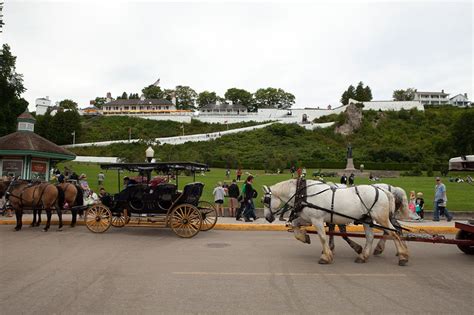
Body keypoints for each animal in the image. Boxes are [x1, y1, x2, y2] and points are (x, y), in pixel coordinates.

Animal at [262, 180, 410, 266]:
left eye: (266, 200)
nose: (268, 218)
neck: (304, 193)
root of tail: (384, 190)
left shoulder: (317, 219)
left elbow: (322, 237)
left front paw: (326, 256)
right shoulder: (308, 218)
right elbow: (295, 224)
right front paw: (304, 237)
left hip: (380, 218)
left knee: (393, 233)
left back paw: (402, 256)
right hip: (367, 219)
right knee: (371, 237)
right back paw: (363, 256)